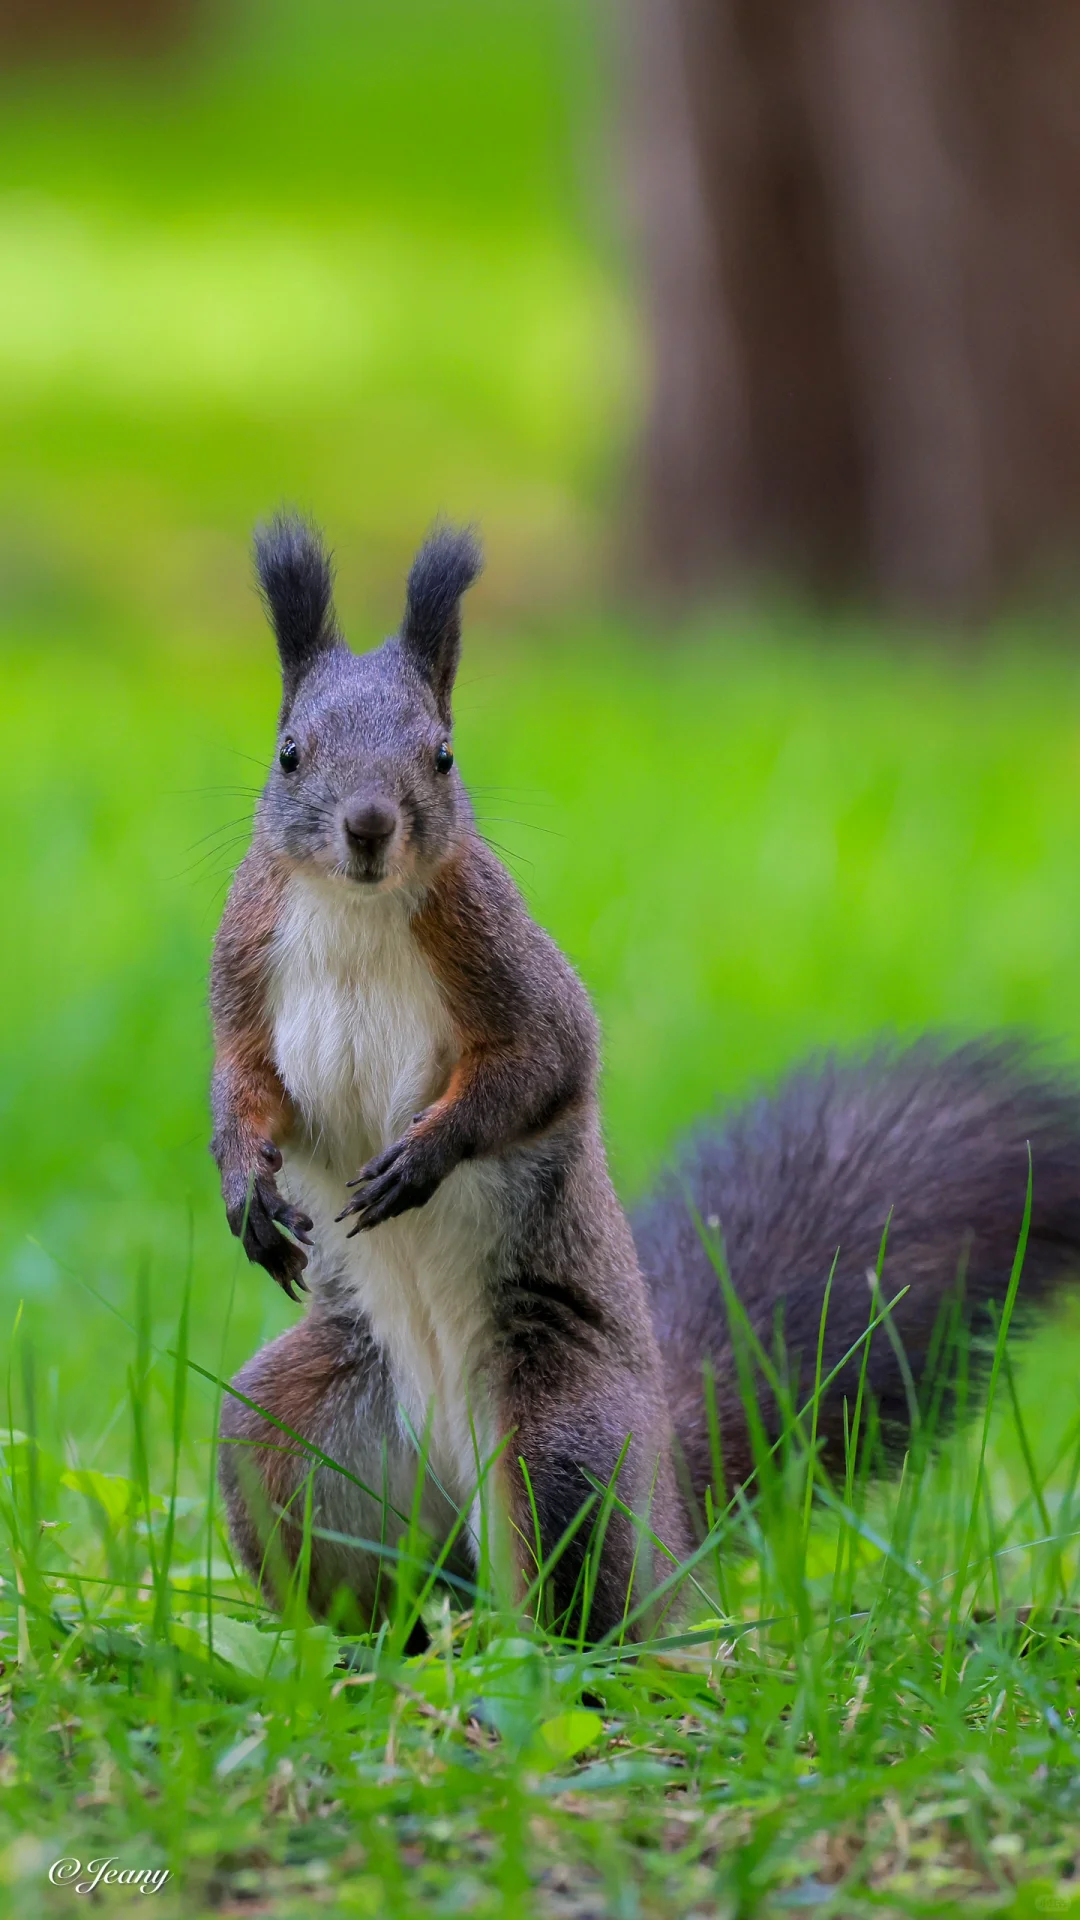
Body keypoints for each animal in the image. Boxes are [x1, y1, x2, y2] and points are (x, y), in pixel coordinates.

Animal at [214, 514, 1076, 1651]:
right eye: (288, 753)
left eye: (442, 756)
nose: (367, 827)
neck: (356, 910)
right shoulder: (245, 966)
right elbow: (241, 1084)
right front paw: (246, 1189)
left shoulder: (507, 967)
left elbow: (545, 1068)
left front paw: (422, 1159)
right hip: (297, 1434)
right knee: (350, 1556)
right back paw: (372, 1654)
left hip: (566, 1444)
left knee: (589, 1595)